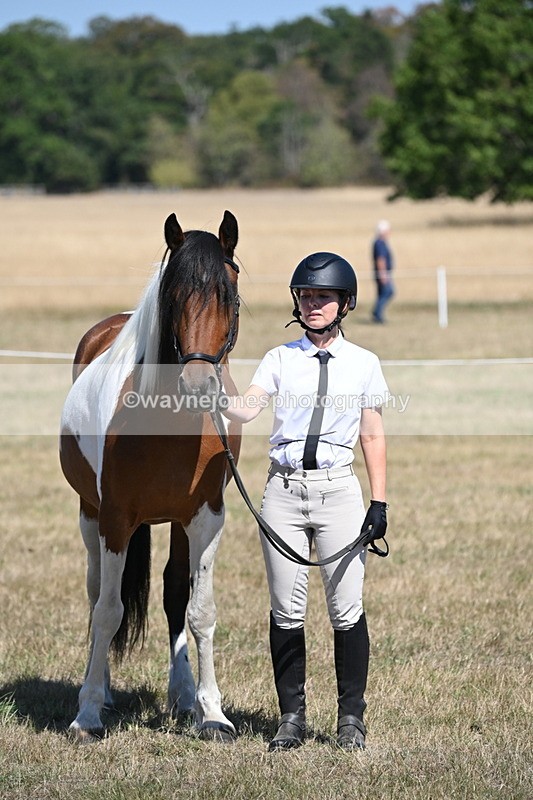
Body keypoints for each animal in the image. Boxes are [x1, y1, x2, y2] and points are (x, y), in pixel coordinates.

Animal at [59, 210, 242, 742]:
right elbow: (108, 611)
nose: (199, 385)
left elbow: (198, 610)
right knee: (98, 593)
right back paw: (99, 690)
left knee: (174, 595)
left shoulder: (206, 518)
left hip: (177, 524)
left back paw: (182, 696)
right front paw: (87, 714)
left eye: (229, 296)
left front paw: (212, 712)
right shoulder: (115, 519)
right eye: (174, 296)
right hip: (90, 515)